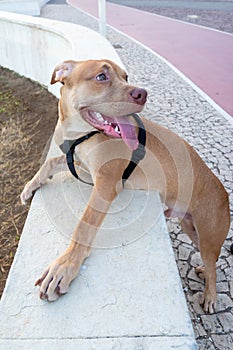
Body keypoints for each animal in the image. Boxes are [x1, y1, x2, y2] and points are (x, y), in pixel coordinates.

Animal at [20, 58, 230, 314]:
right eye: (101, 76)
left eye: (126, 77)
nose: (142, 94)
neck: (82, 134)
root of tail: (224, 194)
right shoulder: (82, 166)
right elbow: (50, 163)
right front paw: (30, 186)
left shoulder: (105, 185)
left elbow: (84, 226)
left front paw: (65, 267)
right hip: (190, 227)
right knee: (212, 263)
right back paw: (203, 274)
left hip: (209, 237)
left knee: (212, 263)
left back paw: (210, 295)